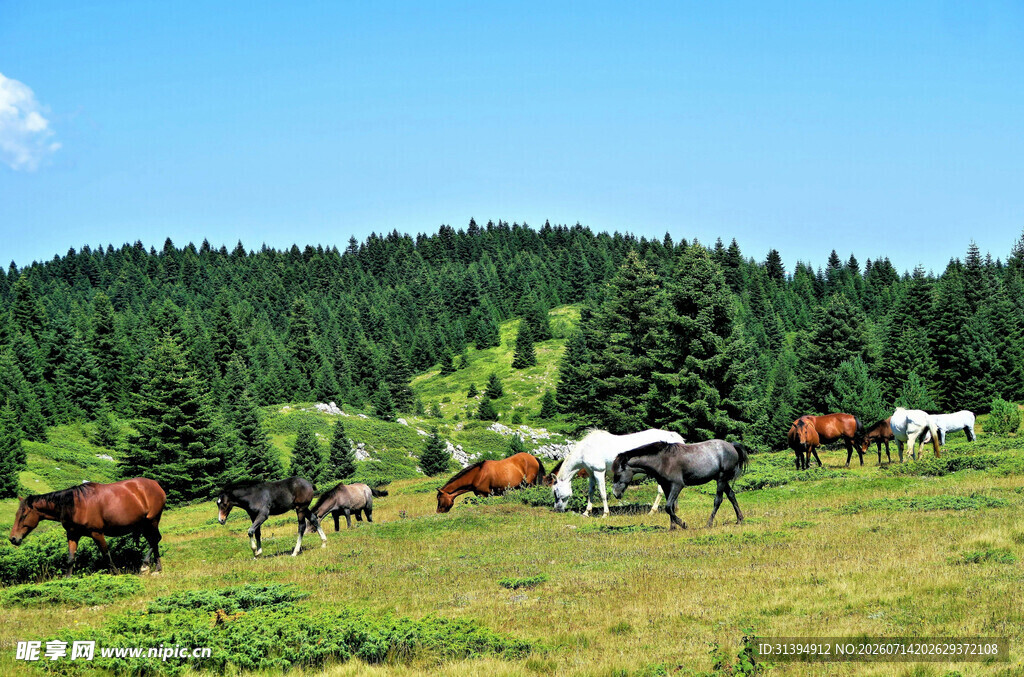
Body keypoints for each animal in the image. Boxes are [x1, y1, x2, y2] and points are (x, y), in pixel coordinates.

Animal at [9, 478, 165, 577]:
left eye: (23, 515)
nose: (13, 538)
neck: (75, 506)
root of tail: (156, 485)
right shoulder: (73, 535)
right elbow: (70, 558)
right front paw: (67, 580)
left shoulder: (97, 533)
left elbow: (106, 555)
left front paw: (116, 573)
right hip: (144, 525)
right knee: (154, 541)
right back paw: (157, 569)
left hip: (152, 521)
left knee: (155, 540)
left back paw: (145, 565)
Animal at [551, 429, 685, 516]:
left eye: (555, 492)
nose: (557, 509)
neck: (586, 449)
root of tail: (674, 437)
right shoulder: (591, 474)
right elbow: (590, 492)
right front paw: (586, 512)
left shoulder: (599, 472)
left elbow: (603, 493)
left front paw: (605, 514)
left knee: (661, 491)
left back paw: (652, 511)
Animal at [611, 440, 748, 530]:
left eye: (618, 474)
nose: (615, 494)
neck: (662, 460)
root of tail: (731, 445)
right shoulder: (666, 486)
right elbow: (670, 507)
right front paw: (672, 527)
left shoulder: (677, 485)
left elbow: (668, 507)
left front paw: (683, 524)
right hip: (722, 480)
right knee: (731, 495)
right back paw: (739, 520)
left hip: (721, 478)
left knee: (718, 500)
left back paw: (709, 524)